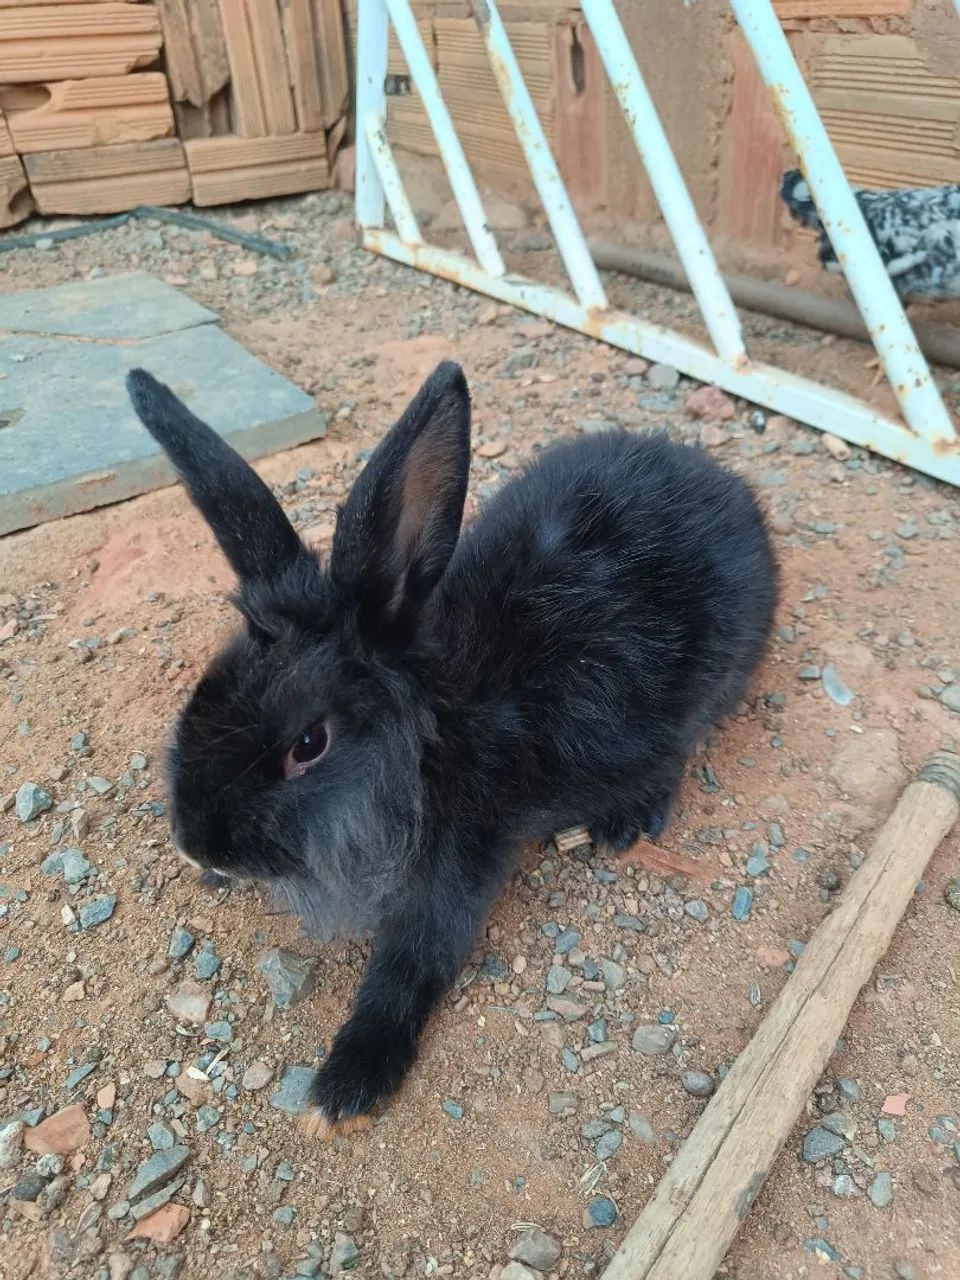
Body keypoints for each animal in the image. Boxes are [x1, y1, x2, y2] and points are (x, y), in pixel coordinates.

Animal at [126, 360, 777, 1139]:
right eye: (203, 691)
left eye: (309, 744)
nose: (195, 845)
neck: (435, 736)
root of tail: (727, 486)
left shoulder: (461, 862)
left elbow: (411, 963)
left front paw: (347, 1083)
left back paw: (624, 823)